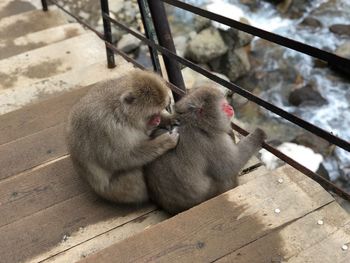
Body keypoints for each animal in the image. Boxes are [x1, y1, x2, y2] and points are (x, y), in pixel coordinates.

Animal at [65, 69, 179, 204]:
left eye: (160, 110)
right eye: (152, 114)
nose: (157, 120)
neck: (122, 114)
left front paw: (169, 118)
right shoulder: (109, 129)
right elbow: (121, 158)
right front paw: (165, 141)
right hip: (120, 191)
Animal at [144, 86, 266, 214]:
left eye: (226, 104)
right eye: (223, 105)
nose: (230, 108)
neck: (195, 123)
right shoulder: (212, 142)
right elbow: (230, 166)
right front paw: (259, 134)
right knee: (225, 177)